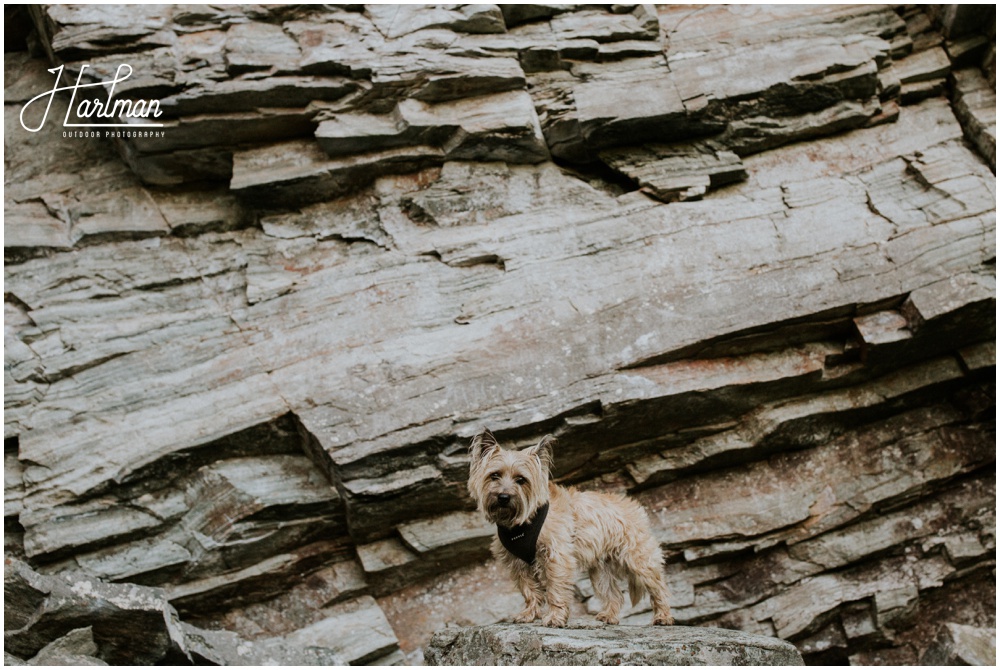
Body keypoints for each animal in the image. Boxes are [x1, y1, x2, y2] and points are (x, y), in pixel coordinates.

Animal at [466, 430, 672, 632]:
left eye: (521, 480)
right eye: (494, 475)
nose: (503, 497)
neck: (523, 522)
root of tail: (633, 505)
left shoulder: (556, 558)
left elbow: (555, 589)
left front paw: (555, 618)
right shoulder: (518, 564)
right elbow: (529, 590)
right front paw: (529, 614)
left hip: (640, 560)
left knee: (659, 587)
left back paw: (663, 617)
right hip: (601, 571)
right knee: (613, 594)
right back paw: (609, 617)